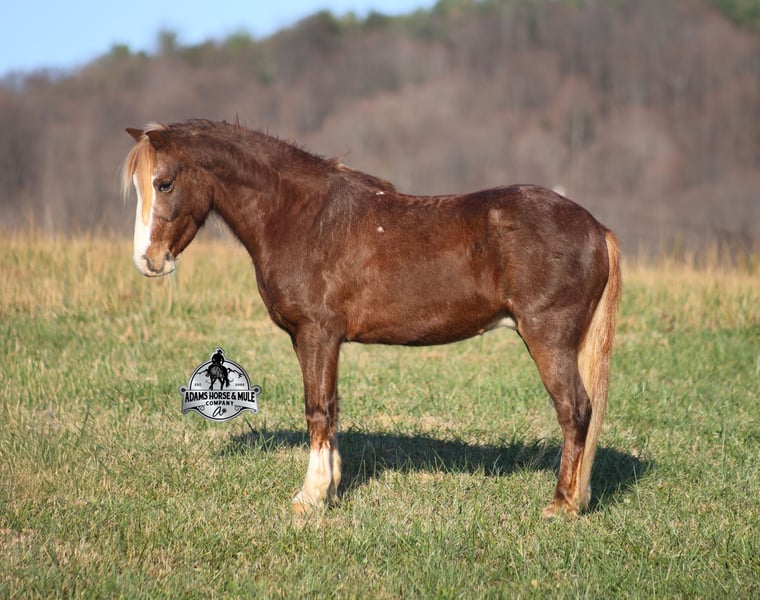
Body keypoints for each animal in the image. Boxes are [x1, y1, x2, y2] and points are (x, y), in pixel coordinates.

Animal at [121, 119, 621, 517]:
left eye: (164, 183)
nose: (147, 261)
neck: (303, 217)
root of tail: (596, 228)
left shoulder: (317, 334)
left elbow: (317, 410)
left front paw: (310, 498)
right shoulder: (319, 340)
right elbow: (331, 407)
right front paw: (330, 488)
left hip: (548, 340)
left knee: (575, 411)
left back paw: (561, 505)